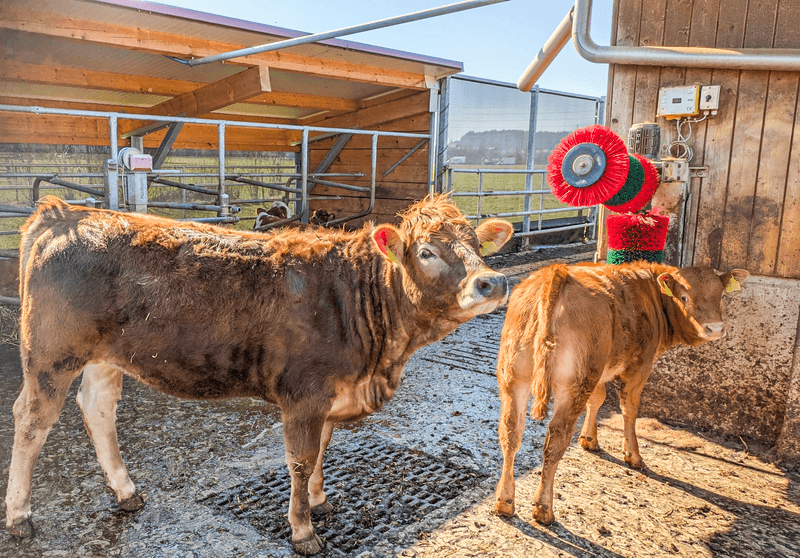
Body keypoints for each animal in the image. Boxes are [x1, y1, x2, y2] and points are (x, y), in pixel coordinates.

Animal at [6, 195, 513, 554]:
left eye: (477, 245)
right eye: (426, 252)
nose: (492, 282)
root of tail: (64, 213)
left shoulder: (331, 395)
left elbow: (323, 449)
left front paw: (318, 501)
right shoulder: (304, 394)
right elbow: (300, 459)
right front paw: (303, 531)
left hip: (105, 357)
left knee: (98, 410)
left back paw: (126, 491)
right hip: (50, 356)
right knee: (31, 422)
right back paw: (18, 516)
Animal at [492, 262, 749, 525]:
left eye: (722, 295)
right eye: (684, 297)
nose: (715, 329)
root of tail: (557, 272)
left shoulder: (600, 370)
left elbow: (597, 400)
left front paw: (589, 439)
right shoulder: (639, 367)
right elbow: (629, 408)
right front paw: (632, 455)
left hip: (515, 376)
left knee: (511, 431)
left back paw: (504, 501)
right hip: (573, 383)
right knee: (556, 439)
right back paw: (544, 508)